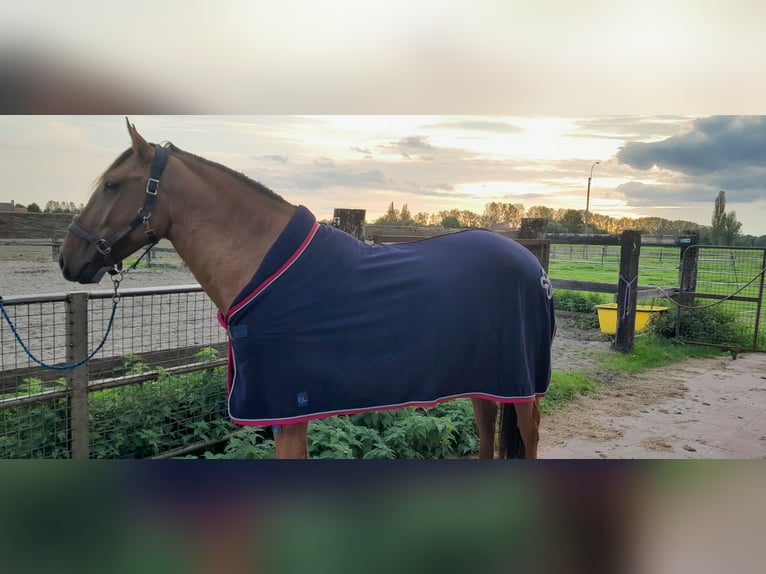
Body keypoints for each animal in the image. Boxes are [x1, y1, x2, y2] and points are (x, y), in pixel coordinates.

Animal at [57, 119, 556, 462]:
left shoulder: (285, 414)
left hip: (522, 384)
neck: (265, 268)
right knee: (487, 426)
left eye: (112, 184)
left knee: (529, 431)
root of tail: (534, 265)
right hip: (486, 376)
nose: (67, 258)